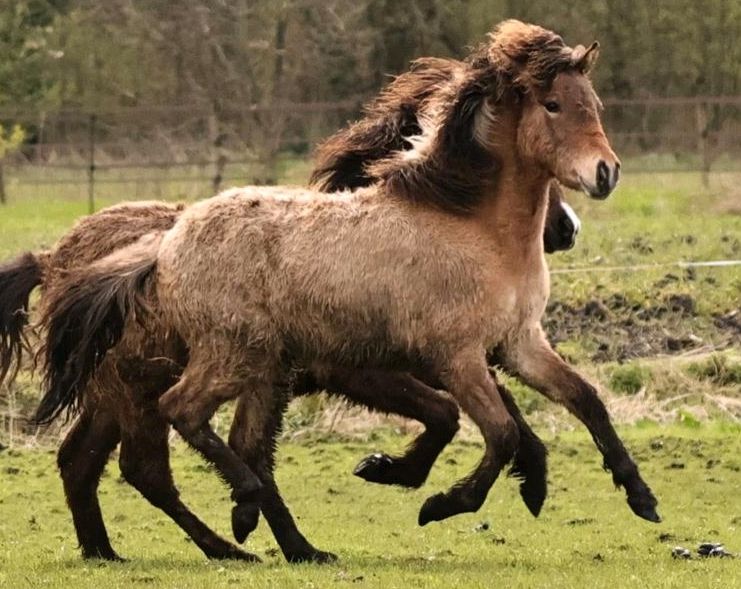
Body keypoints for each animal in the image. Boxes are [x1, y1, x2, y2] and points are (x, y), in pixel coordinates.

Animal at [33, 19, 660, 560]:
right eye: (552, 105)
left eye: (594, 106)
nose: (605, 174)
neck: (475, 228)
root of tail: (166, 243)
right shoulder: (453, 356)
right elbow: (500, 431)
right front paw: (437, 500)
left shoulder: (517, 343)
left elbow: (584, 399)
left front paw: (641, 496)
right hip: (224, 357)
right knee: (177, 423)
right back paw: (242, 517)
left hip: (254, 370)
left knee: (198, 447)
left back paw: (268, 538)